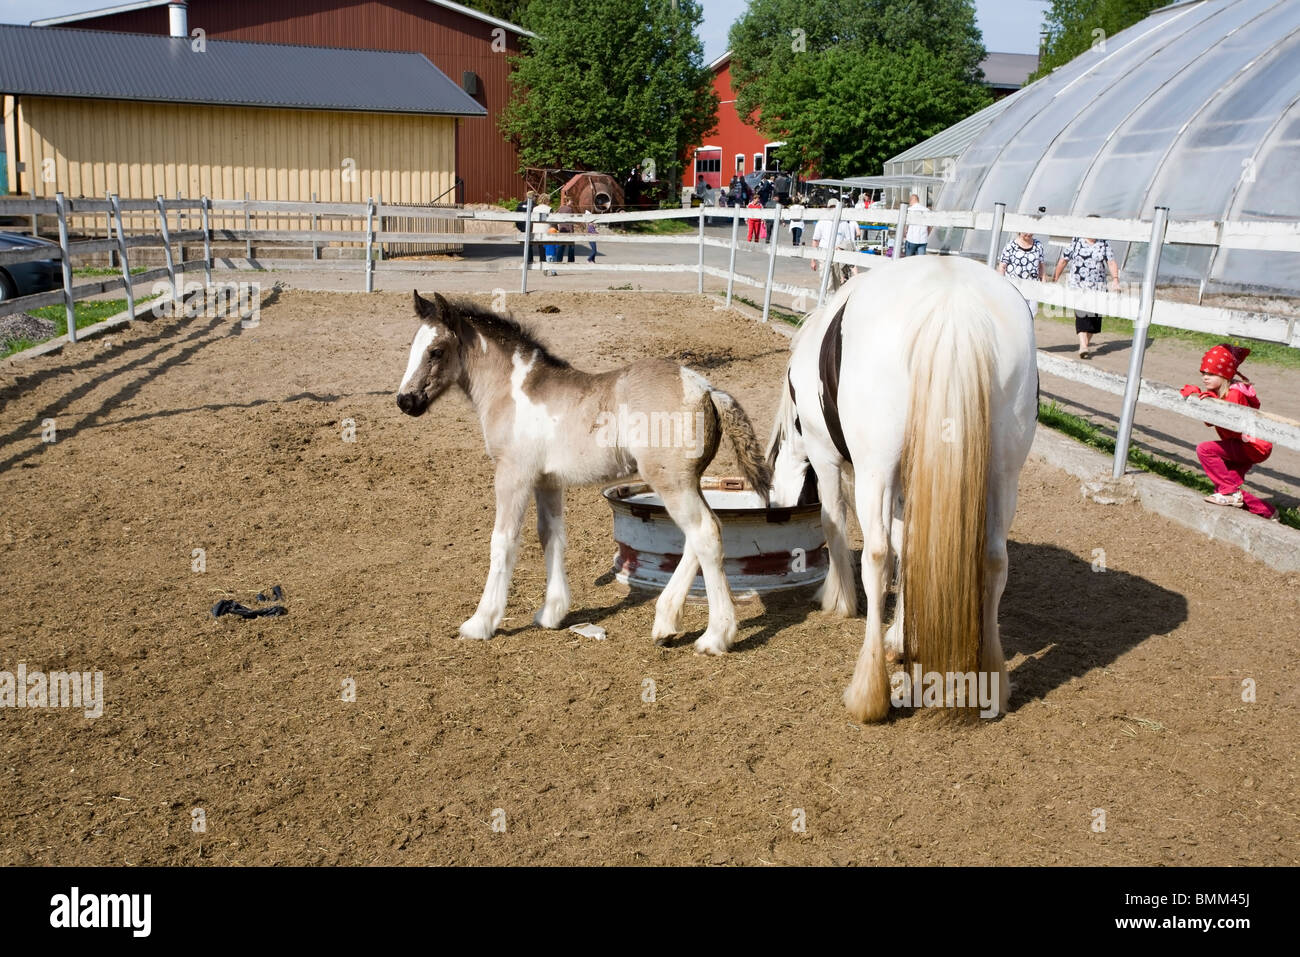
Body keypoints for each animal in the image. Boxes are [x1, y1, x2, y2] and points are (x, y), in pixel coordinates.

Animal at [390, 289, 764, 650]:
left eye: (436, 351)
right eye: (413, 348)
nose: (405, 401)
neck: (513, 391)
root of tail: (706, 389)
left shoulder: (513, 474)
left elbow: (503, 540)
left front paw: (480, 622)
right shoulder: (547, 481)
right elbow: (551, 535)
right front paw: (552, 613)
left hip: (671, 481)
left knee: (705, 534)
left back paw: (715, 637)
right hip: (685, 482)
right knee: (697, 536)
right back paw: (665, 626)